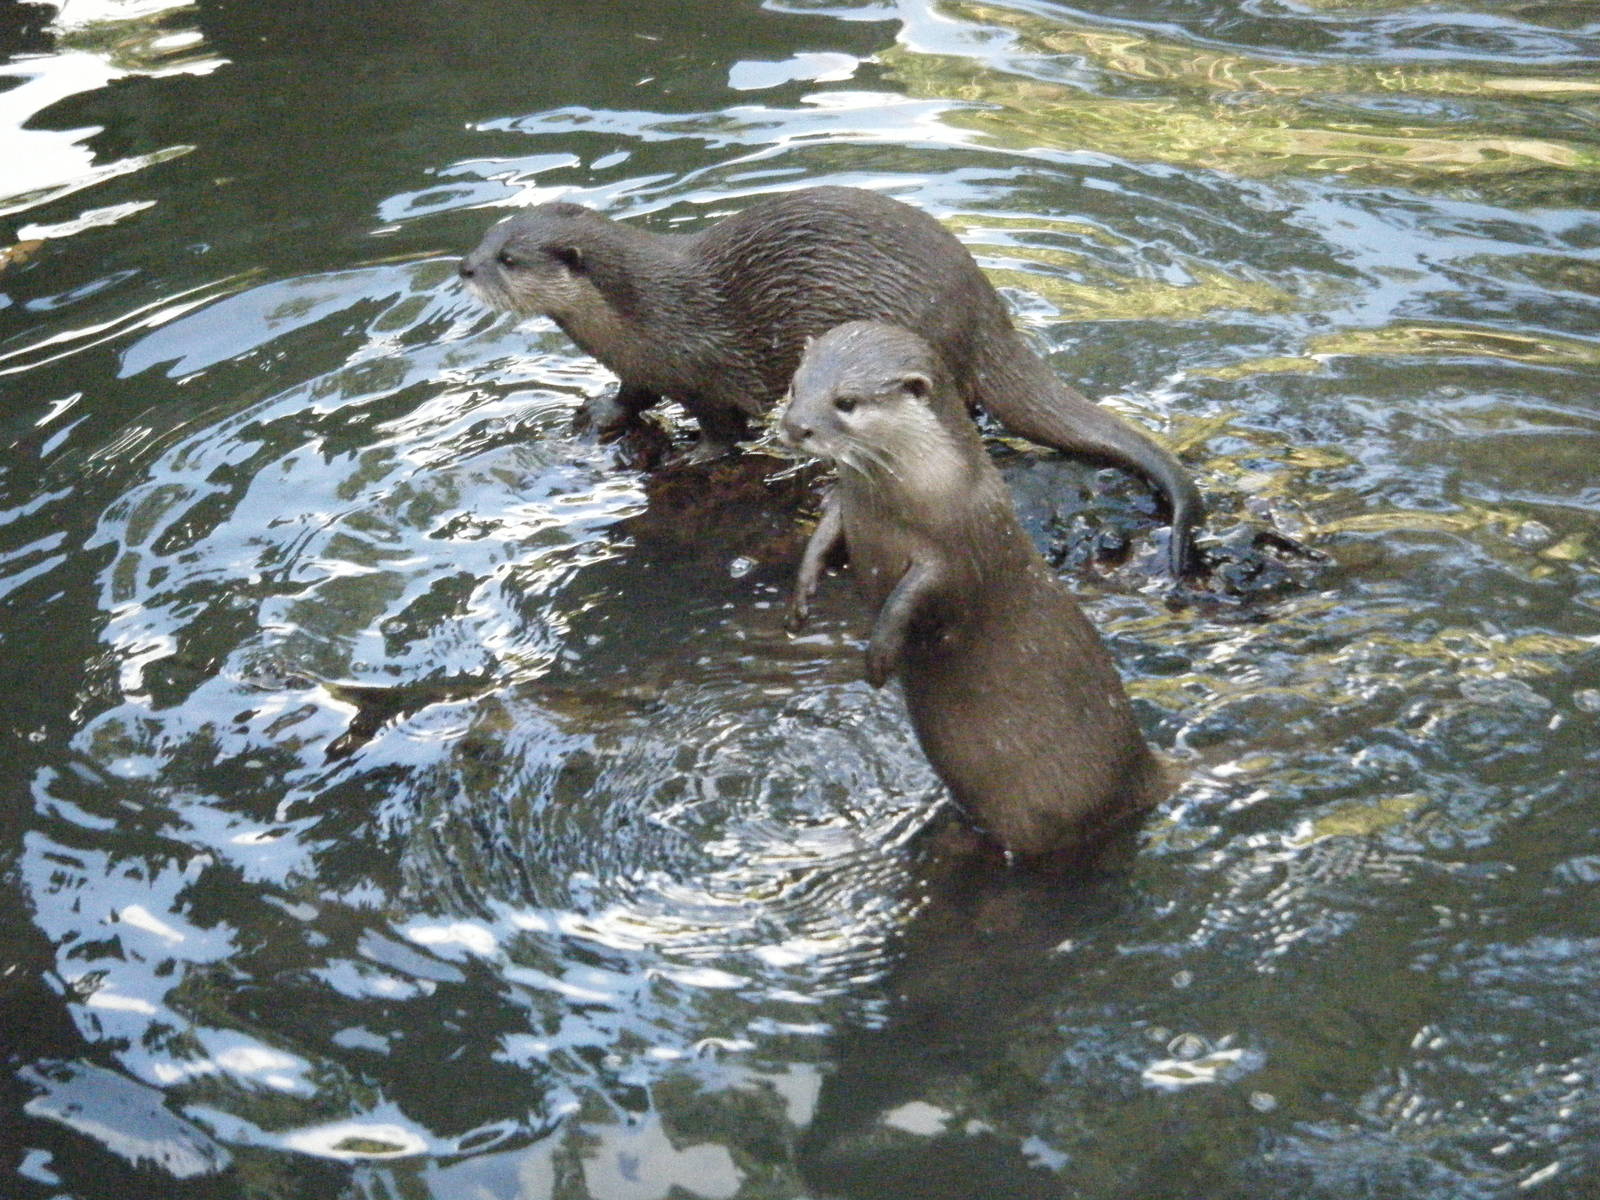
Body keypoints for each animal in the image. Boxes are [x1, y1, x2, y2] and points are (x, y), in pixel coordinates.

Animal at [459, 186, 1203, 576]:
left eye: (509, 258)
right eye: (487, 234)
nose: (464, 268)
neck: (640, 311)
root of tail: (985, 310)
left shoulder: (703, 368)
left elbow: (723, 428)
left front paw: (695, 457)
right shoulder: (640, 364)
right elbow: (631, 395)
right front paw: (599, 416)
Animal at [780, 321, 1172, 858]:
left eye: (846, 402)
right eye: (795, 387)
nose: (795, 427)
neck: (926, 493)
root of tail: (1150, 777)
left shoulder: (956, 552)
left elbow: (918, 595)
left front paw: (879, 656)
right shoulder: (848, 509)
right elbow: (824, 538)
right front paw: (802, 595)